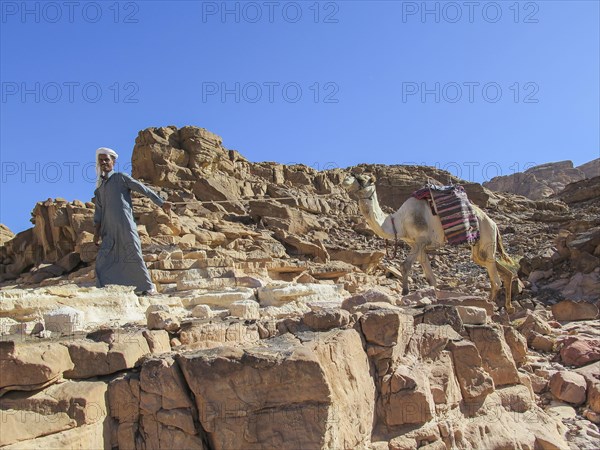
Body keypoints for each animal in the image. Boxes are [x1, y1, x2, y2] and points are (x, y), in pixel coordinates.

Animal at [344, 173, 516, 312]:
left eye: (361, 179)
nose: (345, 180)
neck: (398, 222)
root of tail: (494, 224)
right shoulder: (416, 244)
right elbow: (430, 277)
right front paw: (433, 298)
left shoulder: (421, 240)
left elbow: (405, 265)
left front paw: (405, 292)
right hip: (478, 247)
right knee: (494, 267)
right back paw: (508, 306)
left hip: (487, 236)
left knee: (495, 278)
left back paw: (490, 305)